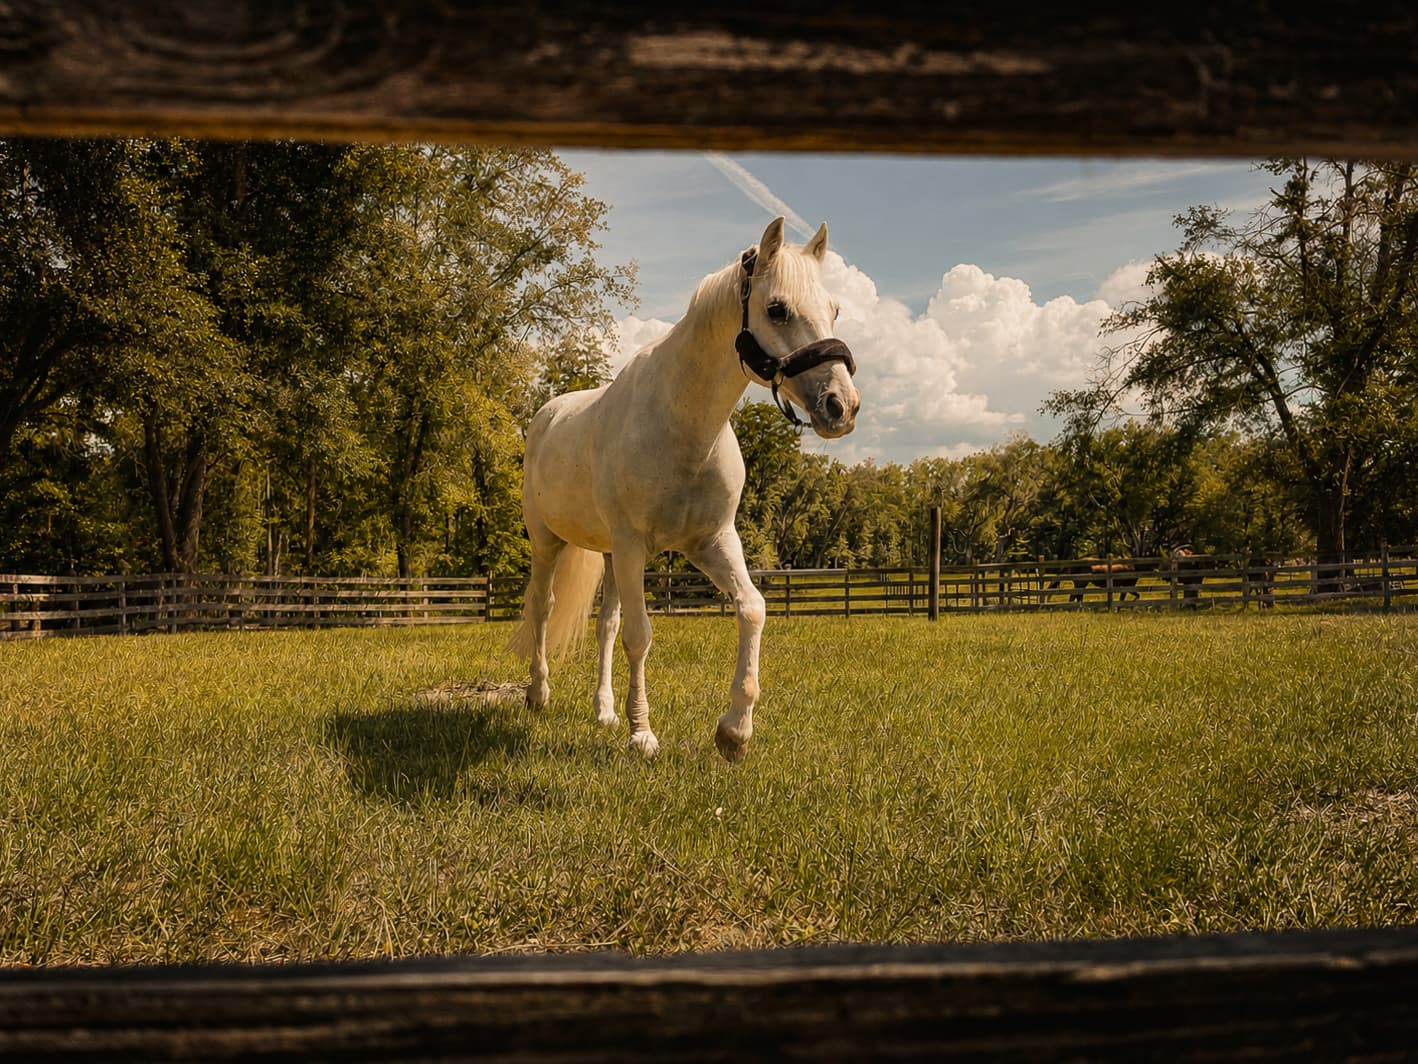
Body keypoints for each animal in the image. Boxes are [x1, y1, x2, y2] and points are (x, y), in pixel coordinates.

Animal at [509, 217, 860, 761]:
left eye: (835, 309)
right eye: (777, 309)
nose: (841, 405)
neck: (683, 427)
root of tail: (547, 415)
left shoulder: (711, 542)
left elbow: (752, 608)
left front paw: (734, 731)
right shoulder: (634, 546)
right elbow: (640, 636)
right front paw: (643, 735)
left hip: (610, 555)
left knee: (605, 623)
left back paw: (604, 711)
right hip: (549, 542)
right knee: (542, 609)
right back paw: (539, 694)